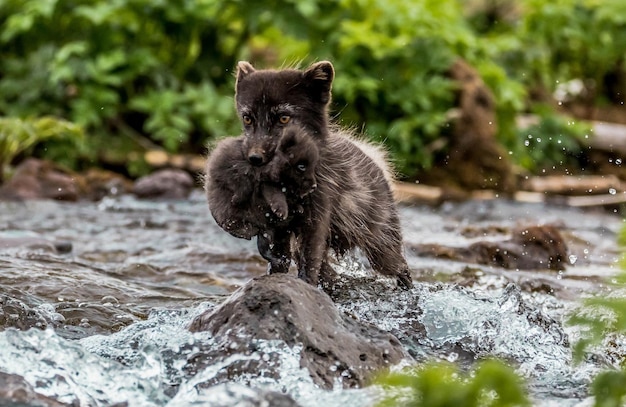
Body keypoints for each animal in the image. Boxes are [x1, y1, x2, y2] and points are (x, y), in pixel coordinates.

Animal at [233, 60, 410, 290]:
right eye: (247, 118)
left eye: (284, 118)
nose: (255, 158)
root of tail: (372, 158)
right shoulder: (278, 224)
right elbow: (280, 259)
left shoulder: (316, 221)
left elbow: (309, 261)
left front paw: (305, 286)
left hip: (381, 248)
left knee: (401, 267)